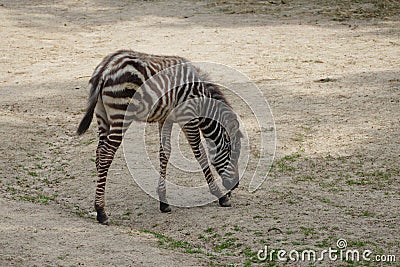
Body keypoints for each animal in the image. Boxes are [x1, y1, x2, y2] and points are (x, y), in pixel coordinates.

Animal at [76, 49, 242, 224]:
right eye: (234, 153)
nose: (235, 185)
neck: (200, 99)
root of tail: (105, 68)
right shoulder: (187, 117)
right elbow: (200, 154)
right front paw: (220, 195)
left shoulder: (166, 118)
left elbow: (165, 152)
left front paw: (163, 201)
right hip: (121, 112)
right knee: (107, 153)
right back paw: (101, 211)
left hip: (102, 115)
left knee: (99, 153)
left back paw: (99, 202)